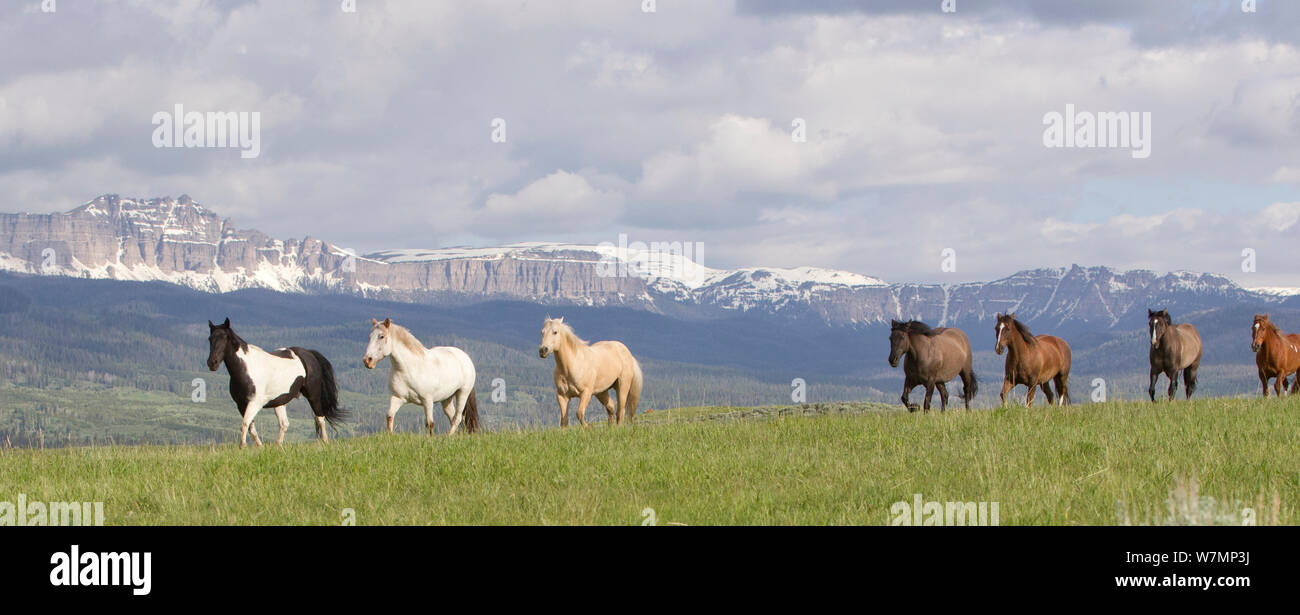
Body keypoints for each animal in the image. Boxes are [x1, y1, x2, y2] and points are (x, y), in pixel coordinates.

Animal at [204, 315, 348, 444]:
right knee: (284, 424)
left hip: (313, 395)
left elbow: (245, 424)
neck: (247, 369)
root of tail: (308, 354)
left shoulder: (254, 403)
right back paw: (278, 446)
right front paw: (260, 447)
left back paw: (325, 442)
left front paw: (242, 447)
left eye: (224, 337)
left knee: (320, 418)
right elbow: (251, 428)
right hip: (280, 401)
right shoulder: (241, 404)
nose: (212, 363)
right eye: (210, 339)